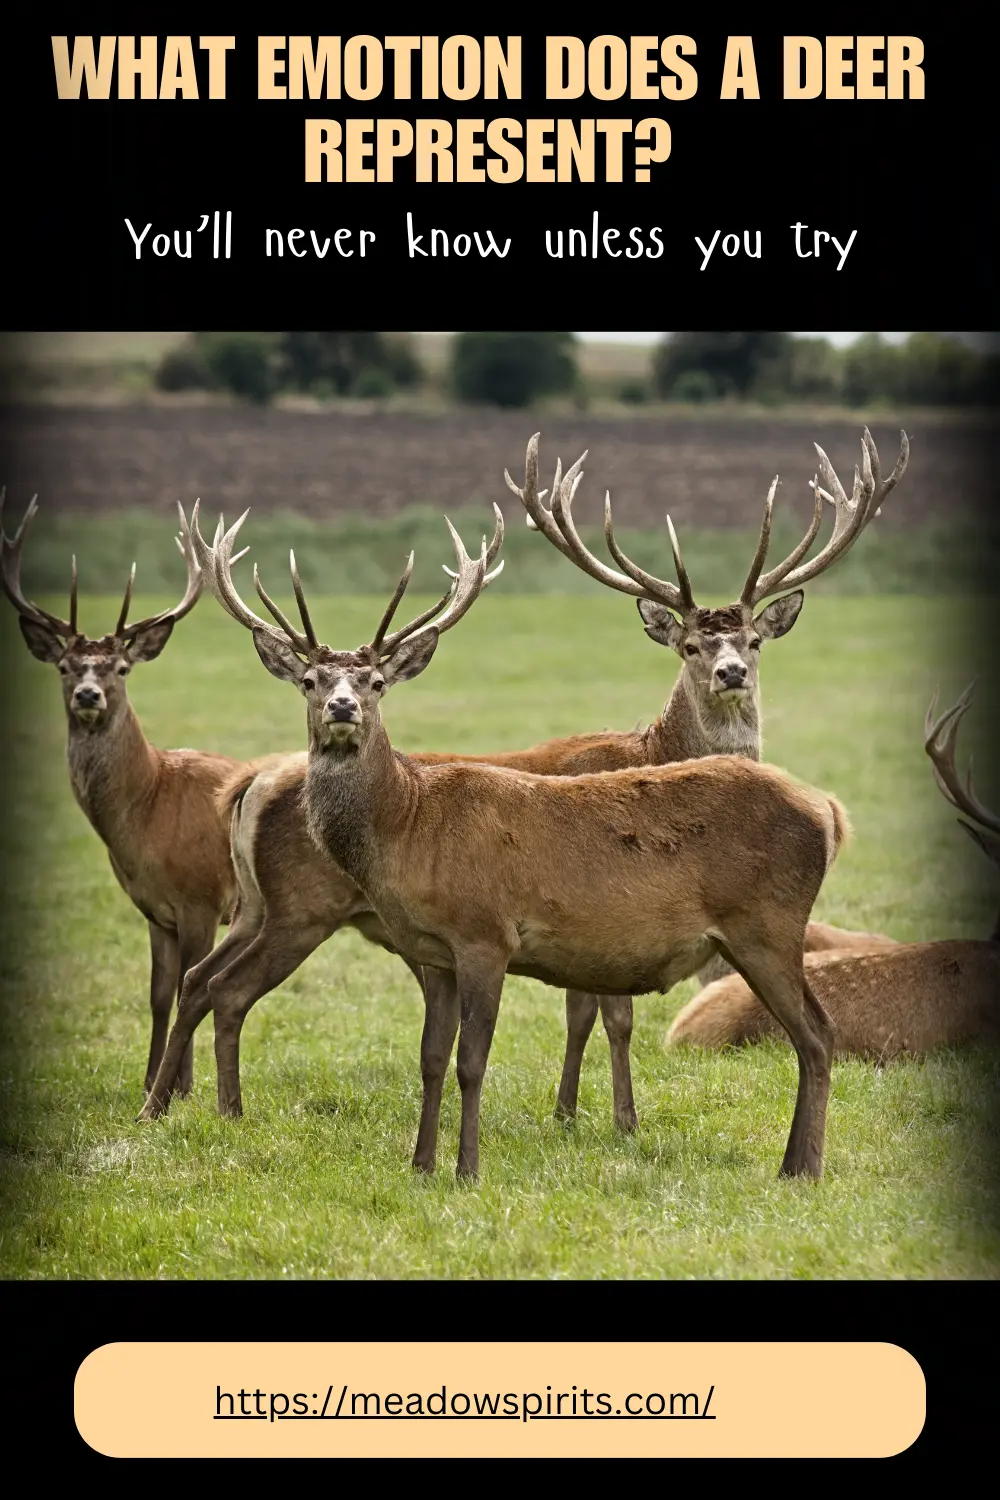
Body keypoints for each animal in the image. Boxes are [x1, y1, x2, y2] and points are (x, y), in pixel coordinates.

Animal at [0, 493, 280, 1098]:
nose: (88, 694)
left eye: (122, 667)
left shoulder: (201, 899)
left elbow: (188, 988)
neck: (148, 811)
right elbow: (156, 994)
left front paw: (182, 1087)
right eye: (64, 666)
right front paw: (152, 1078)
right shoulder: (153, 910)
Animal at [135, 426, 907, 1137]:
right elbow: (606, 1014)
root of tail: (250, 784)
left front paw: (574, 1113)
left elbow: (585, 1009)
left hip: (256, 906)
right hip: (300, 907)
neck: (652, 748)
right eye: (691, 644)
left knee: (202, 983)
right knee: (224, 990)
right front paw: (609, 1118)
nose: (732, 673)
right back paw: (199, 1107)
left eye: (754, 640)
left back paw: (176, 1103)